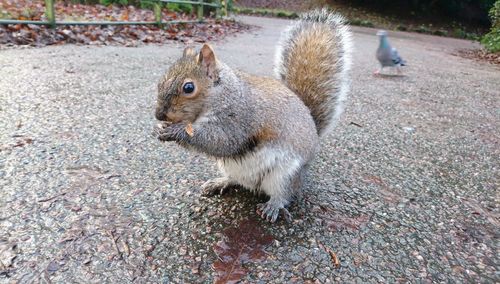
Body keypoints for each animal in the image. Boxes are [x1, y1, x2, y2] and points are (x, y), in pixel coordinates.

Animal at [154, 8, 354, 222]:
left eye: (189, 87)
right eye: (161, 81)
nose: (159, 115)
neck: (223, 94)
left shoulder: (239, 119)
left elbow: (222, 141)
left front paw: (177, 130)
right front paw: (161, 128)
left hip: (285, 174)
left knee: (284, 193)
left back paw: (273, 206)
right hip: (232, 168)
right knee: (235, 180)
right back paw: (220, 182)